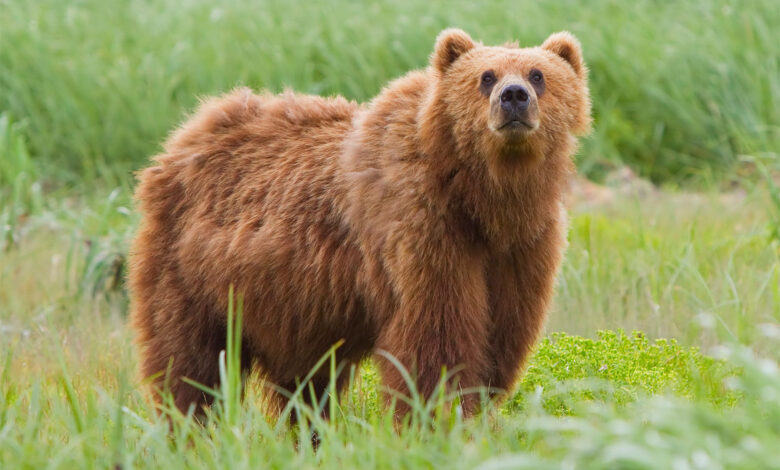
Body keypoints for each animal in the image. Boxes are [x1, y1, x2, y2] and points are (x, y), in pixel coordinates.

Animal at [128, 28, 591, 419]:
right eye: (485, 76)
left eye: (538, 74)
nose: (513, 96)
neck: (482, 199)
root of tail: (185, 135)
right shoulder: (422, 230)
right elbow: (436, 340)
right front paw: (438, 416)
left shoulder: (522, 248)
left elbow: (500, 337)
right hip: (192, 272)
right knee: (190, 363)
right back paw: (189, 427)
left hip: (292, 307)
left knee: (305, 385)